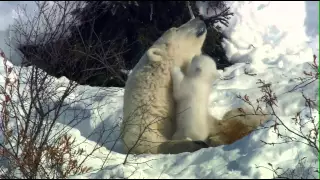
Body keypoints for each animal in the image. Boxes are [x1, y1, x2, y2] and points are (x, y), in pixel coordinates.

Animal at [121, 17, 268, 154]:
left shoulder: (208, 120)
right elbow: (151, 144)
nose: (198, 18)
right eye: (175, 28)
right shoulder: (143, 127)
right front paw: (194, 143)